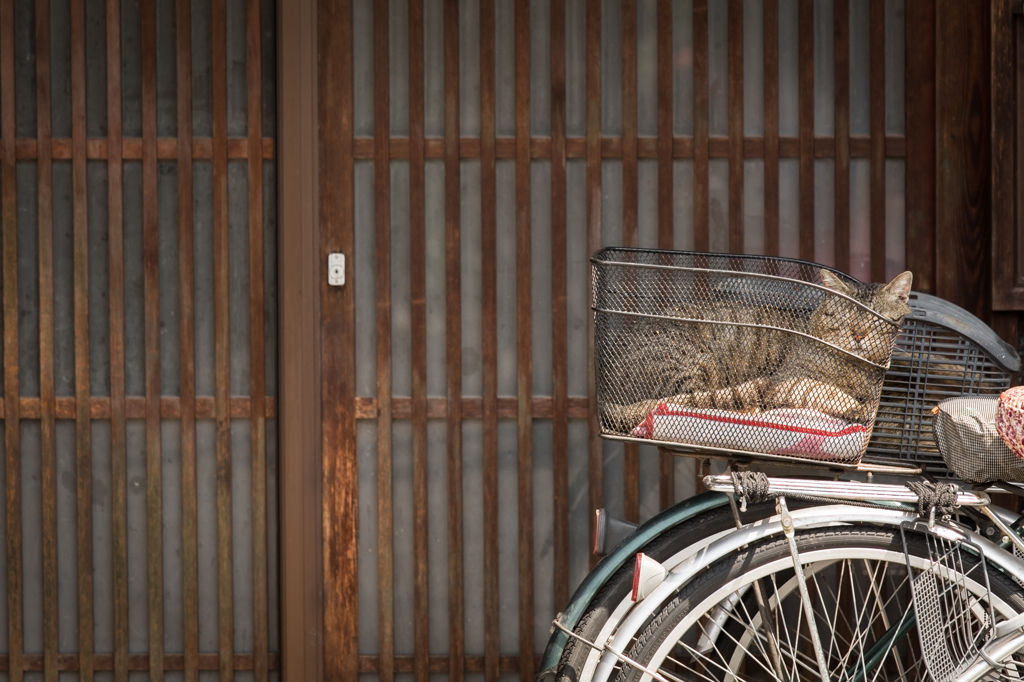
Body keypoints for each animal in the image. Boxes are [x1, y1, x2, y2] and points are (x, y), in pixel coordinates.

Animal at [598, 270, 913, 432]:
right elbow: (824, 391)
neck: (853, 366)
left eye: (877, 320)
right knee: (686, 402)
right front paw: (855, 407)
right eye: (847, 317)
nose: (859, 334)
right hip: (693, 368)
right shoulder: (788, 380)